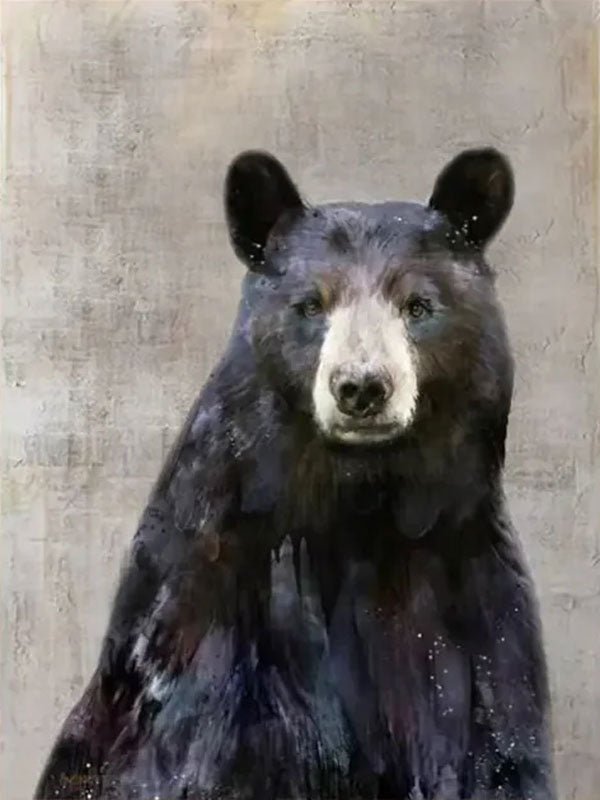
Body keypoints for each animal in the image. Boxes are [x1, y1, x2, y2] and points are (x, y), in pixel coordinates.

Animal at [34, 147, 556, 800]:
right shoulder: (206, 620)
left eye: (418, 306)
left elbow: (497, 746)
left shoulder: (474, 607)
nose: (362, 387)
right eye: (311, 304)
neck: (360, 504)